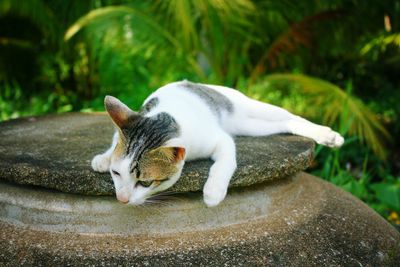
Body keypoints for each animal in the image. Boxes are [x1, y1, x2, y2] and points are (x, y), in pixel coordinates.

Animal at [91, 80, 344, 208]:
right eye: (116, 173)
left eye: (145, 182)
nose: (122, 200)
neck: (169, 117)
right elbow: (113, 143)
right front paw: (103, 158)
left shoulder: (220, 139)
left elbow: (225, 162)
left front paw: (213, 191)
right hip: (248, 125)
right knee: (284, 123)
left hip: (244, 109)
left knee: (289, 115)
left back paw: (328, 135)